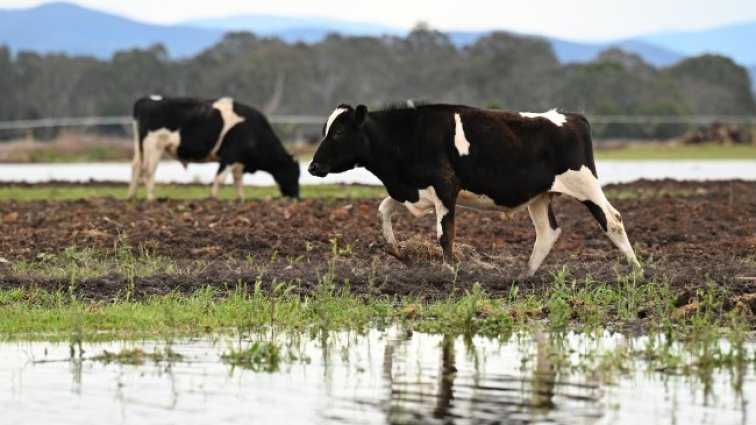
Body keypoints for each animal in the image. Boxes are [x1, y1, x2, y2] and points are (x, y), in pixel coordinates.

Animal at [128, 95, 300, 200]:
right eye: (294, 173)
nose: (297, 197)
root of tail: (147, 100)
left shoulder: (239, 160)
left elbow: (238, 179)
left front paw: (241, 198)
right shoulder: (230, 156)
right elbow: (220, 178)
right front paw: (214, 198)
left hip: (139, 147)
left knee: (136, 167)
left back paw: (131, 197)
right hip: (154, 145)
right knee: (148, 170)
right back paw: (152, 198)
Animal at [310, 102, 640, 274]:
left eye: (338, 133)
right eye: (325, 130)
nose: (313, 167)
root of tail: (571, 116)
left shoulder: (445, 187)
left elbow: (445, 234)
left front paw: (449, 272)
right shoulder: (412, 189)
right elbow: (382, 211)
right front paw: (397, 251)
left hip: (584, 183)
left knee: (612, 220)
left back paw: (636, 270)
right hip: (540, 195)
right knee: (548, 232)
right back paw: (525, 275)